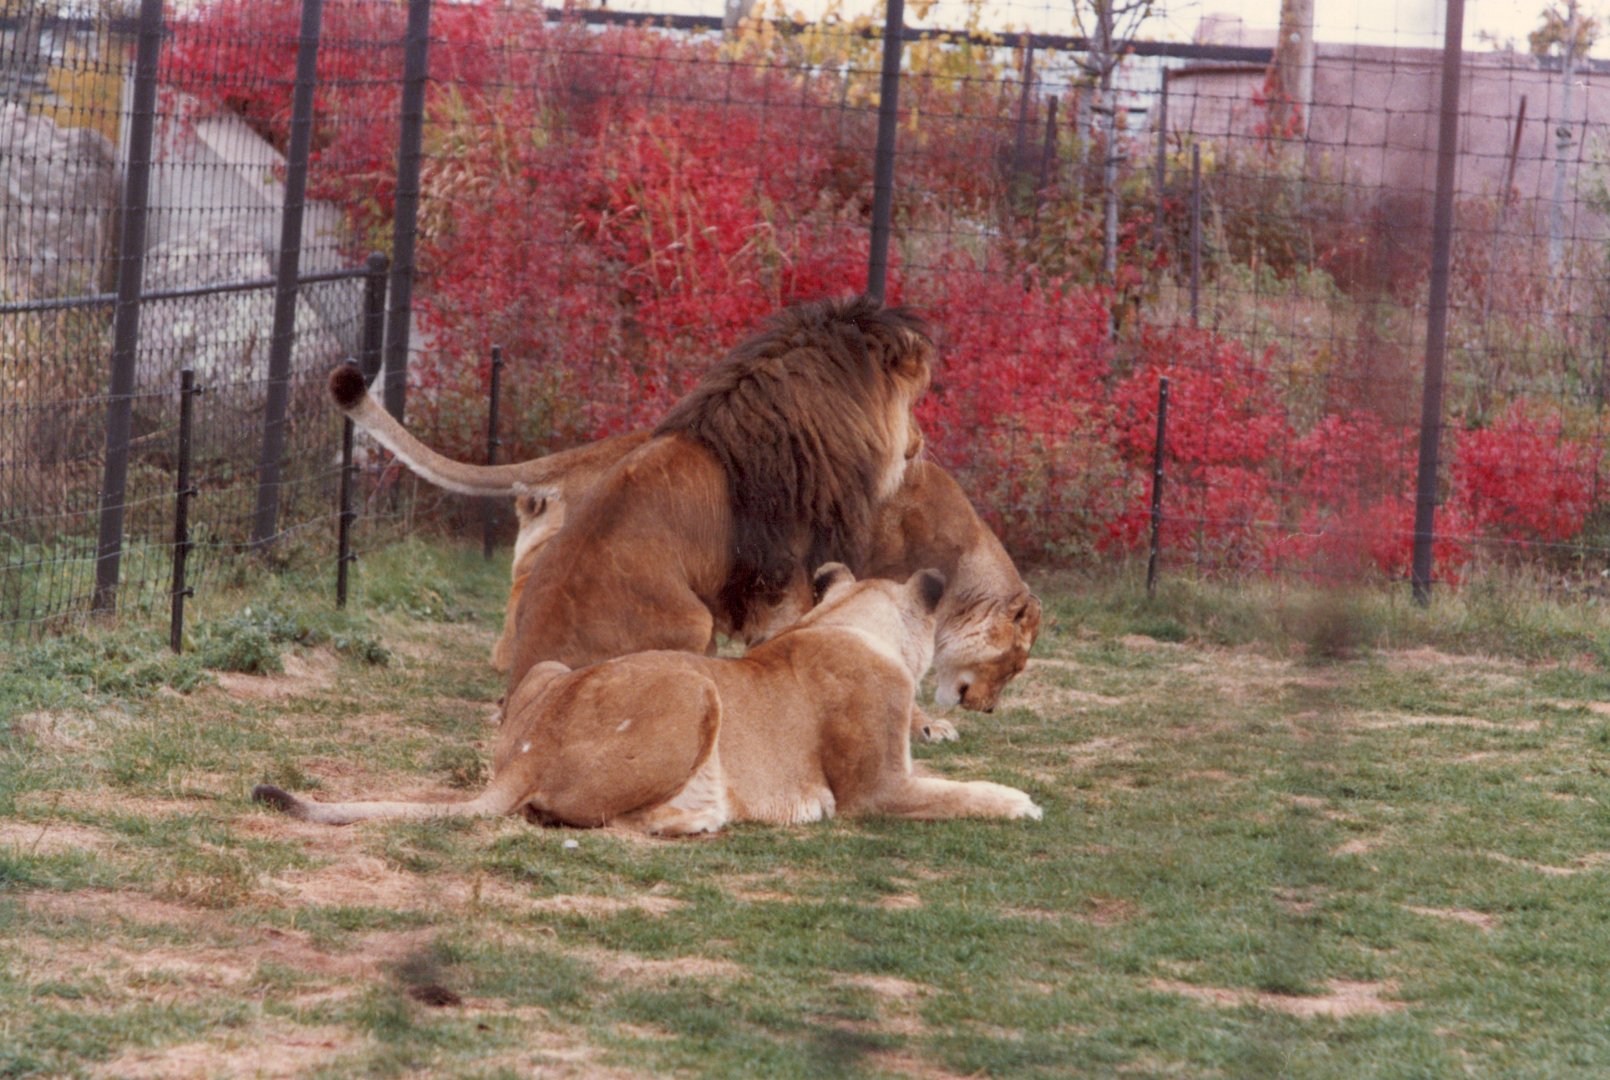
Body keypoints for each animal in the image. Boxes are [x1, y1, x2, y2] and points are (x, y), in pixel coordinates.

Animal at [251, 565, 1043, 833]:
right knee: (588, 819)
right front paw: (1019, 801)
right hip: (695, 686)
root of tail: (527, 754)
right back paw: (698, 820)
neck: (846, 618)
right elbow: (959, 794)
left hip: (553, 668)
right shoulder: (875, 789)